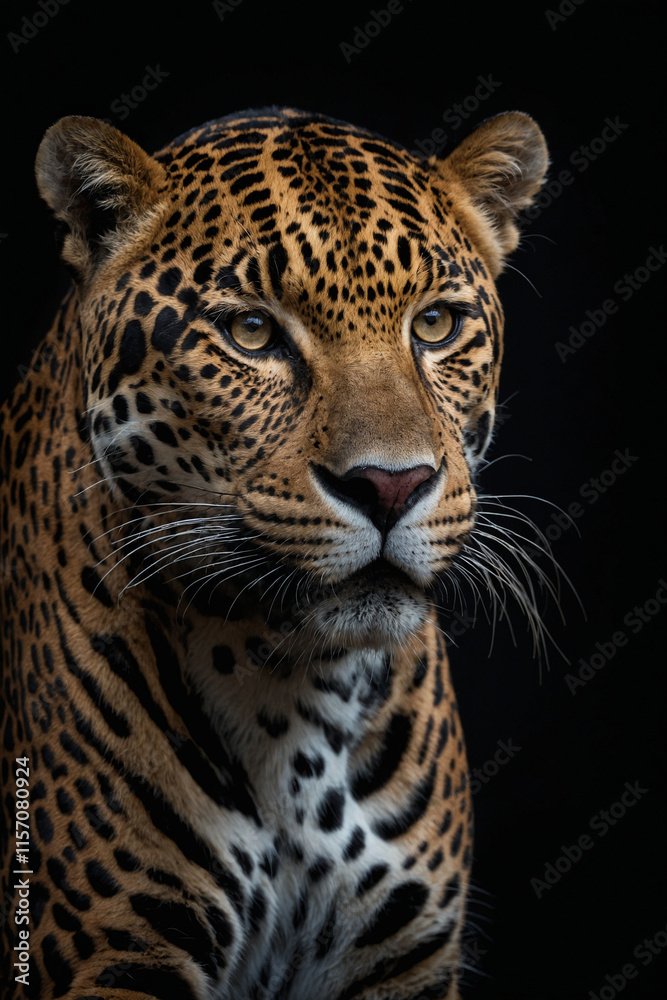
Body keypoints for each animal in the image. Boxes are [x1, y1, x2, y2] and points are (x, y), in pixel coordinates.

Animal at [0, 106, 548, 999]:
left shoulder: (405, 962)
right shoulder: (112, 958)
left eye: (435, 324)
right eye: (251, 332)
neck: (297, 690)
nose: (390, 485)